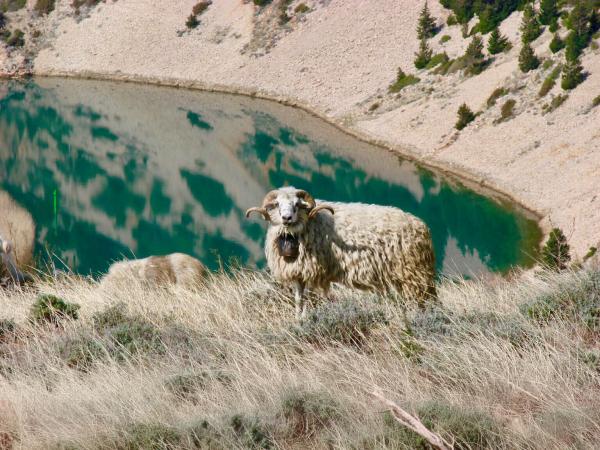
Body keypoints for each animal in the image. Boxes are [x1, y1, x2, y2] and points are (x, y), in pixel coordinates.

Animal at [246, 186, 437, 319]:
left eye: (297, 205)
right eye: (277, 204)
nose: (286, 218)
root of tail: (422, 226)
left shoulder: (309, 270)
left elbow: (305, 298)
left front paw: (304, 318)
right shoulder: (298, 272)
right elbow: (299, 299)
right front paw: (298, 319)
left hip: (412, 274)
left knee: (419, 300)